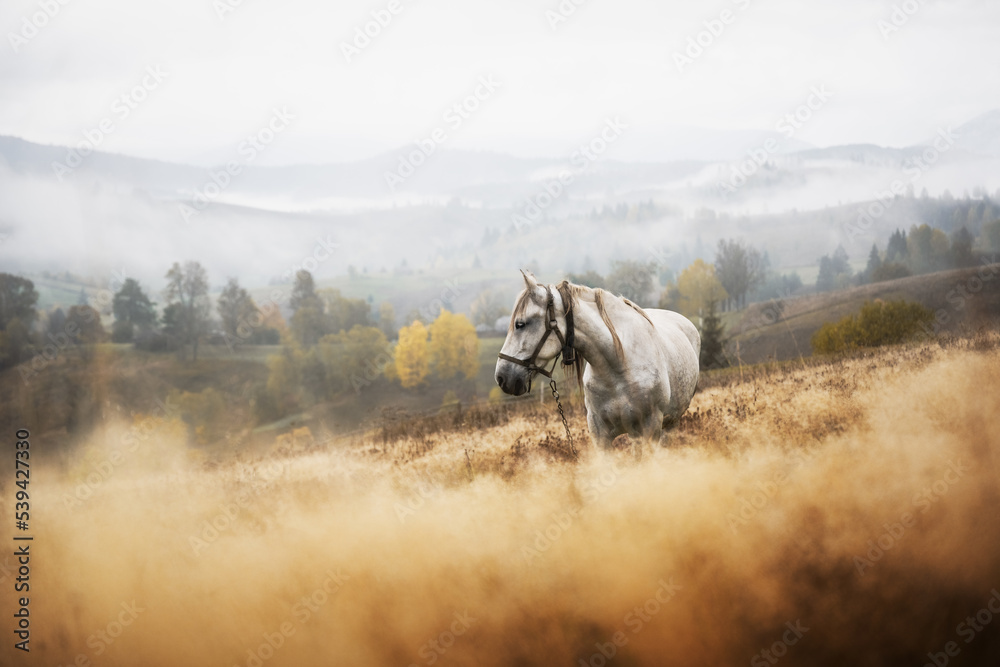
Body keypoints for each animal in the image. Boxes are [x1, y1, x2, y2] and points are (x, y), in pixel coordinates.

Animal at [496, 272, 700, 454]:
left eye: (520, 324)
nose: (501, 377)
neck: (619, 365)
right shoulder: (600, 435)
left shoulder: (651, 429)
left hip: (670, 425)